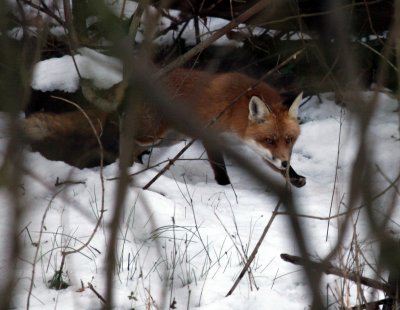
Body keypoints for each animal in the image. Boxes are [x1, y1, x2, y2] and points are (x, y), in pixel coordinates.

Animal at [23, 67, 306, 186]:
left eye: (288, 140)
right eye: (269, 139)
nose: (284, 161)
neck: (235, 110)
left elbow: (277, 165)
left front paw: (293, 176)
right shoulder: (211, 135)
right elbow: (220, 169)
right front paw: (226, 188)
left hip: (168, 138)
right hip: (151, 134)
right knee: (124, 141)